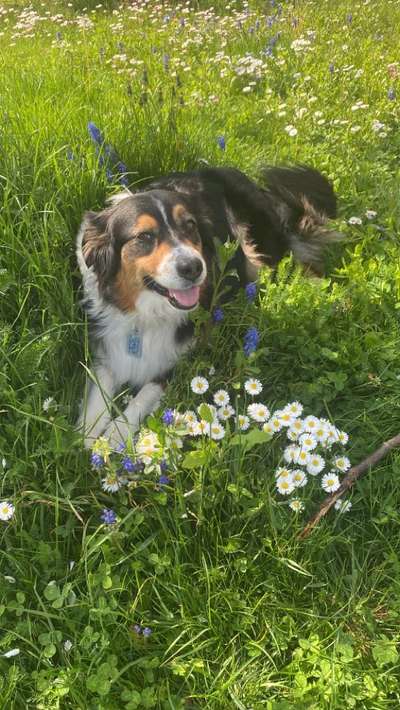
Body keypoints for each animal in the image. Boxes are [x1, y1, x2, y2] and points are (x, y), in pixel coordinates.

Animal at [76, 164, 340, 448]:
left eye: (190, 226)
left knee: (300, 264)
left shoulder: (185, 356)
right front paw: (88, 432)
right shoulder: (106, 342)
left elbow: (144, 394)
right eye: (144, 236)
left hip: (255, 247)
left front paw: (115, 435)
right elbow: (99, 388)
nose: (193, 267)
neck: (145, 316)